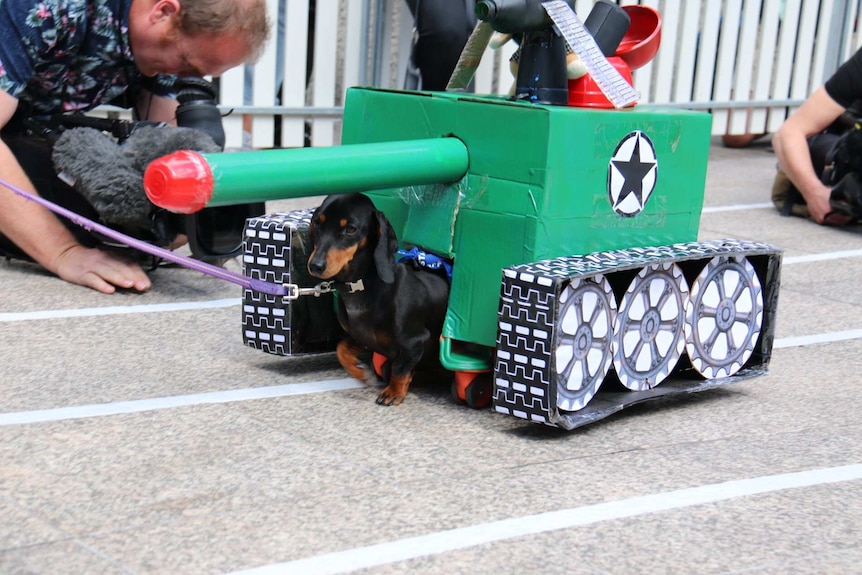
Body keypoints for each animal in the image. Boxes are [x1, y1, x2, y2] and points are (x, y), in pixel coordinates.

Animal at [308, 194, 452, 404]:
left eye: (350, 228)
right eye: (317, 223)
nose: (315, 265)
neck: (361, 286)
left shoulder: (415, 342)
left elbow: (400, 369)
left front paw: (394, 392)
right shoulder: (360, 336)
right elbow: (341, 349)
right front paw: (360, 373)